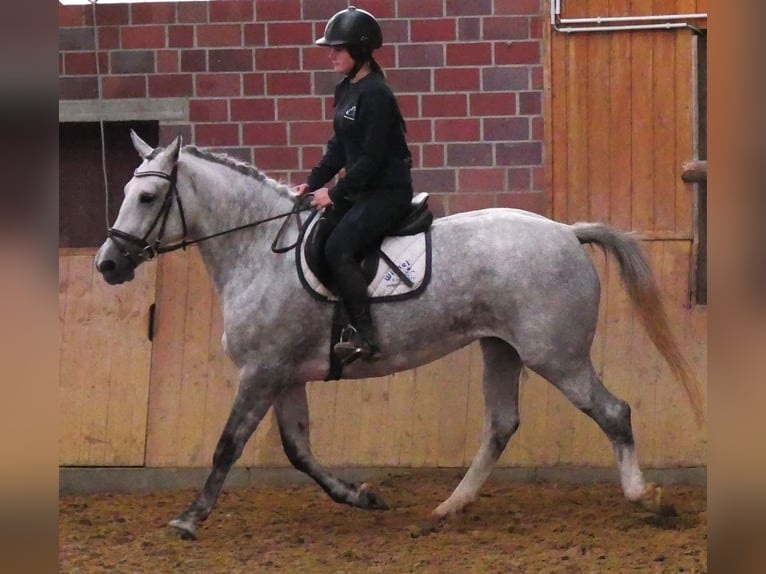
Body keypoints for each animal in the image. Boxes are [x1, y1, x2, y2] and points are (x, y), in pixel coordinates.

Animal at [94, 131, 703, 540]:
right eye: (124, 191)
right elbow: (298, 450)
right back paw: (448, 509)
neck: (259, 251)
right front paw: (363, 496)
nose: (107, 264)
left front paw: (189, 518)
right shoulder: (284, 375)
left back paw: (646, 499)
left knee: (613, 412)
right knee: (501, 425)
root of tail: (567, 232)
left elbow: (228, 445)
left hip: (556, 355)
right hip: (501, 349)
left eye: (147, 198)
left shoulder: (261, 372)